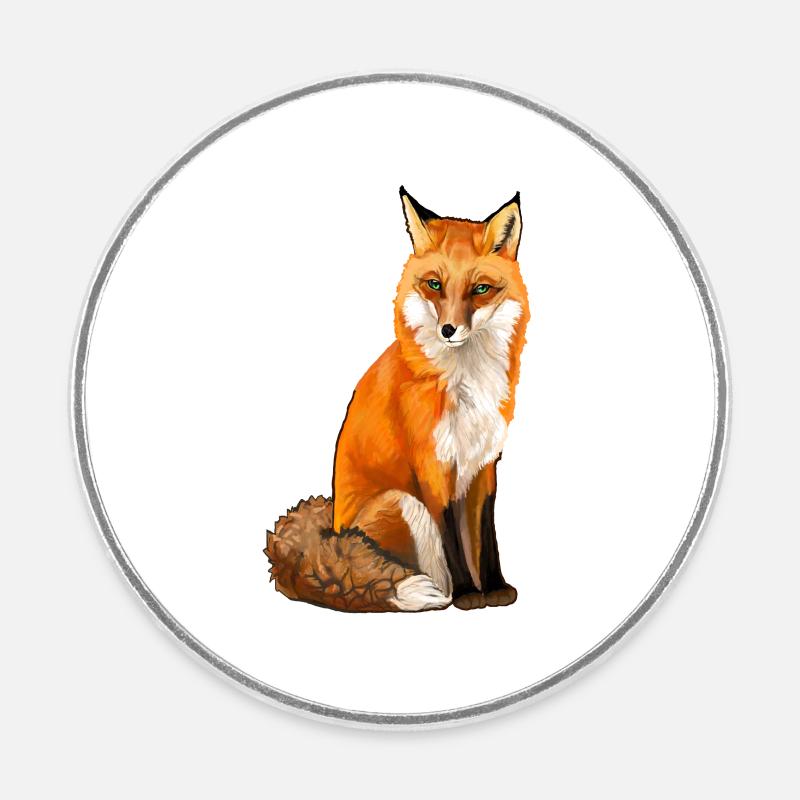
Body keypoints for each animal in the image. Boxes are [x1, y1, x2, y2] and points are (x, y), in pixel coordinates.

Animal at [265, 187, 530, 612]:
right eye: (435, 285)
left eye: (480, 289)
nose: (448, 330)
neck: (466, 382)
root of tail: (332, 530)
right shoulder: (432, 466)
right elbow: (452, 540)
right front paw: (469, 594)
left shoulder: (484, 464)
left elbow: (486, 536)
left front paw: (495, 587)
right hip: (403, 502)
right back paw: (438, 593)